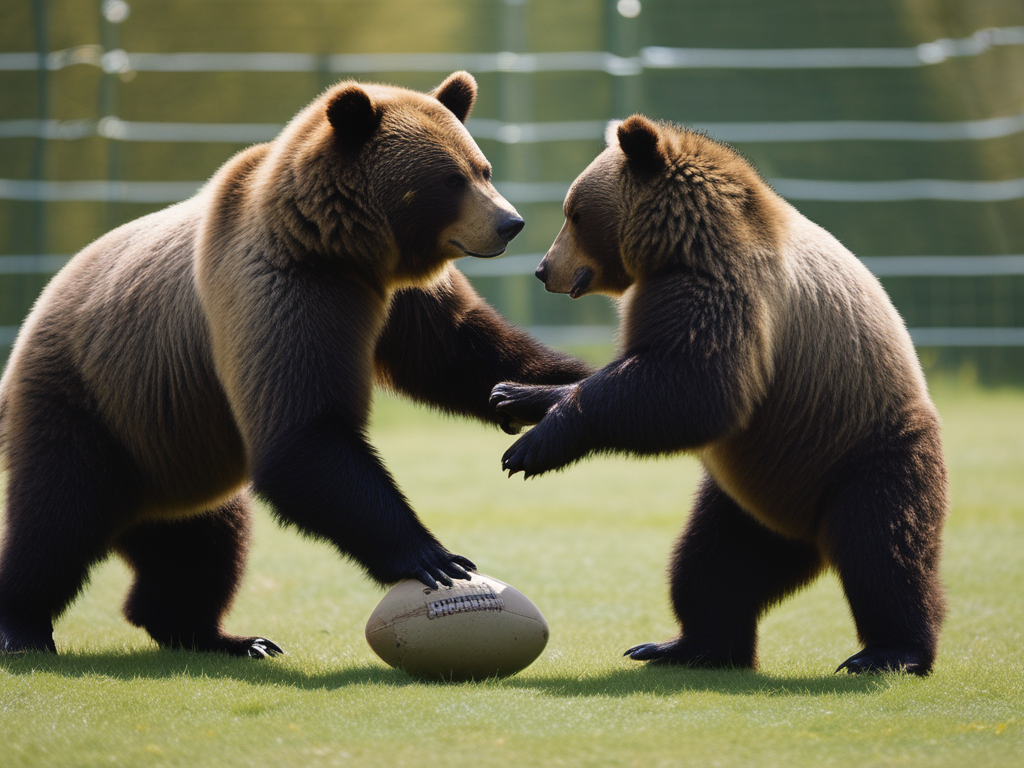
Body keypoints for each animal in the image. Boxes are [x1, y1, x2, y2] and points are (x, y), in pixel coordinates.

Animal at [0, 72, 593, 658]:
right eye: (450, 179)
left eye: (481, 168)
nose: (510, 222)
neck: (343, 250)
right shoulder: (280, 294)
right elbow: (304, 433)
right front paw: (435, 557)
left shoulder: (401, 299)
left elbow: (464, 354)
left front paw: (555, 399)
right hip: (89, 403)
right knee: (55, 520)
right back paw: (23, 624)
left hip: (174, 444)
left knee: (201, 546)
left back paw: (224, 636)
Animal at [490, 115, 949, 676]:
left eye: (573, 214)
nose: (543, 269)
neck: (675, 247)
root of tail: (804, 528)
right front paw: (515, 393)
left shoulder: (723, 289)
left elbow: (695, 388)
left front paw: (531, 447)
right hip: (753, 489)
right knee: (713, 565)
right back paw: (685, 645)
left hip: (862, 451)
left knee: (884, 550)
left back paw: (890, 650)